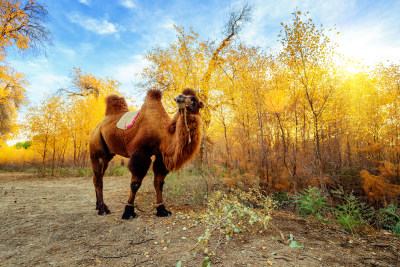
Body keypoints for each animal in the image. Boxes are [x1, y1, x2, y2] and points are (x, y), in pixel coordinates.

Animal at [89, 88, 205, 220]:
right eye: (184, 95)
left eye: (194, 99)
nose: (179, 98)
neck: (162, 133)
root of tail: (99, 125)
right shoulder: (140, 153)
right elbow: (135, 184)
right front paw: (128, 211)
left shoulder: (160, 156)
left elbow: (159, 183)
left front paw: (162, 210)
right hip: (96, 147)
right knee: (99, 178)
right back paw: (102, 209)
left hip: (108, 154)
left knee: (97, 177)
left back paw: (99, 206)